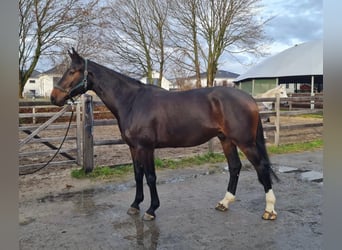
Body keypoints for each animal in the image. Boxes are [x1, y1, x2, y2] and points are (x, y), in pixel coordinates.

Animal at [50, 48, 278, 221]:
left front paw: (151, 210)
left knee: (261, 167)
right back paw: (224, 202)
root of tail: (249, 99)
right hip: (226, 140)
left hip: (245, 142)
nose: (54, 97)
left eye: (72, 71)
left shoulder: (146, 148)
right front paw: (135, 205)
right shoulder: (133, 148)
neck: (132, 101)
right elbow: (138, 175)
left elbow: (150, 177)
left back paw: (269, 210)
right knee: (235, 167)